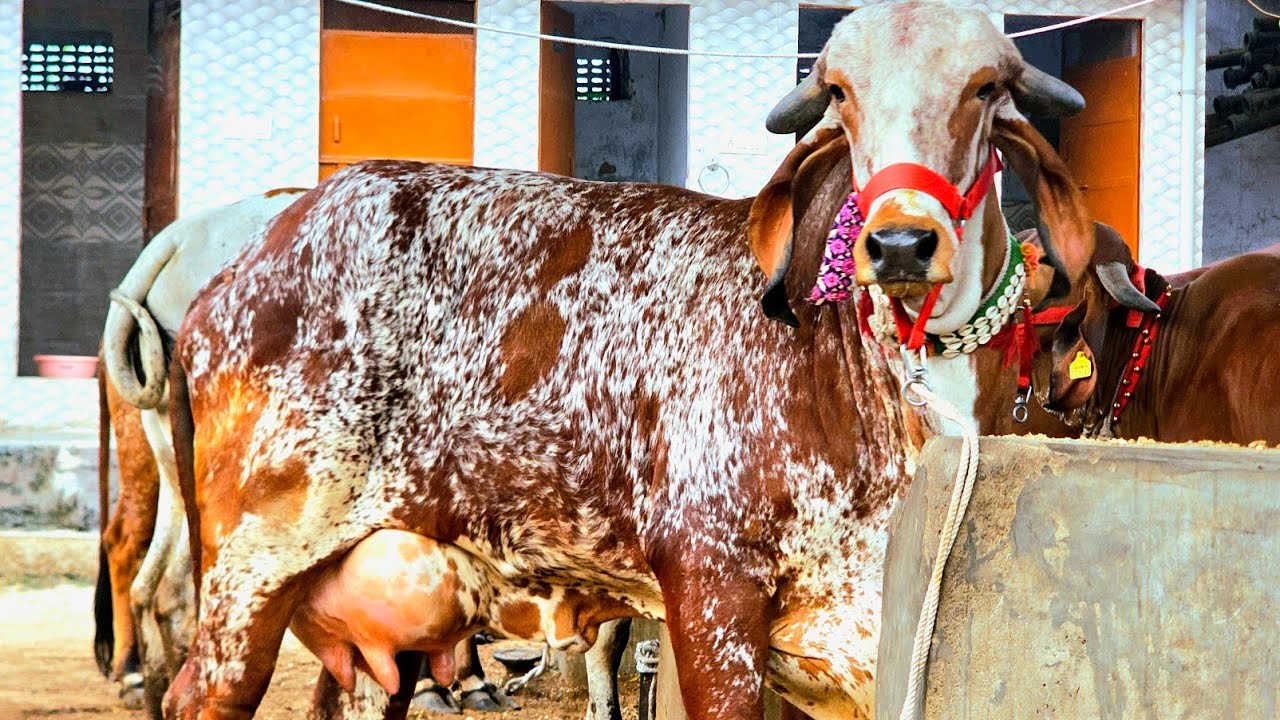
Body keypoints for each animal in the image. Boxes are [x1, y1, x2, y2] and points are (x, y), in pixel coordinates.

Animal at [157, 4, 1097, 719]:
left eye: (986, 87)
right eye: (841, 93)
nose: (900, 243)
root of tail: (236, 273)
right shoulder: (713, 594)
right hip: (249, 577)